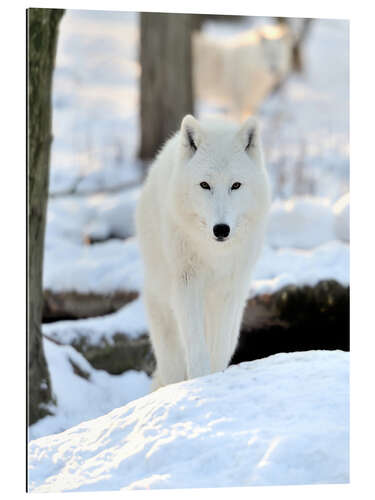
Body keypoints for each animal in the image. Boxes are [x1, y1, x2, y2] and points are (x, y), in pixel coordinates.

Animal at [137, 114, 272, 390]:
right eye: (204, 185)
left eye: (236, 185)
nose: (221, 229)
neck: (214, 255)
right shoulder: (187, 285)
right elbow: (197, 350)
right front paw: (201, 383)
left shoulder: (229, 290)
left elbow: (217, 350)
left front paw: (215, 380)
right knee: (172, 368)